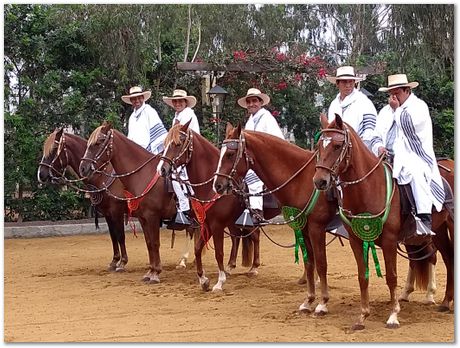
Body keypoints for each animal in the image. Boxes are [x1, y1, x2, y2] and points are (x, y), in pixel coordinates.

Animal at [37, 128, 129, 272]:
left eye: (54, 149)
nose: (40, 174)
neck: (103, 177)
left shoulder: (117, 212)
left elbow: (120, 235)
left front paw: (123, 262)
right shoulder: (108, 214)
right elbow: (113, 235)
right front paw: (114, 261)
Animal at [157, 122, 280, 290]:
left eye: (177, 144)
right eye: (164, 143)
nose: (162, 169)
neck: (210, 186)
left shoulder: (217, 225)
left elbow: (219, 252)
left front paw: (219, 282)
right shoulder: (206, 224)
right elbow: (198, 248)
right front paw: (203, 279)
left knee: (255, 236)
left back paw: (254, 268)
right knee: (237, 238)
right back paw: (231, 266)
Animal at [213, 123, 338, 316]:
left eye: (230, 154)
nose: (218, 185)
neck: (302, 180)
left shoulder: (316, 228)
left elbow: (321, 262)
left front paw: (322, 303)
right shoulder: (303, 227)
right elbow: (310, 261)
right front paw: (309, 299)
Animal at [312, 115, 452, 328]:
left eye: (337, 145)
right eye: (319, 145)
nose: (320, 181)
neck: (370, 187)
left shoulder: (389, 240)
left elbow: (391, 277)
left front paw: (393, 315)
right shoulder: (356, 240)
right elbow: (362, 276)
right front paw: (362, 315)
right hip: (440, 231)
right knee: (448, 258)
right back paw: (445, 302)